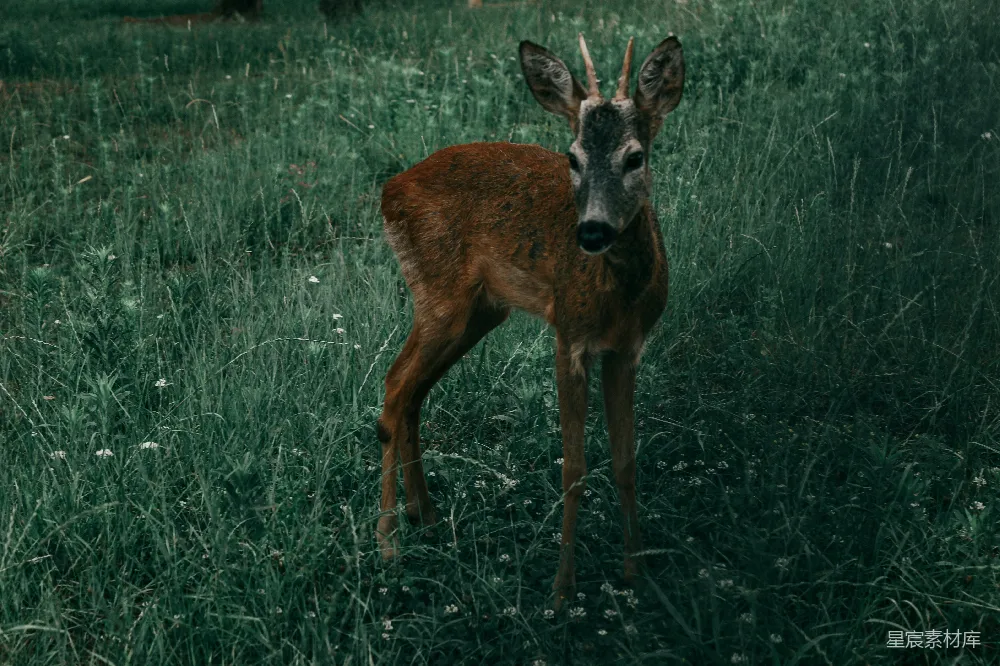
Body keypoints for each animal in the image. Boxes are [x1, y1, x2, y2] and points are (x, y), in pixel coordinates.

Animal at [376, 33, 684, 608]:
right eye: (572, 157)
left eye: (635, 157)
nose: (591, 232)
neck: (618, 294)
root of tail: (387, 191)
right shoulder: (569, 334)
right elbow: (574, 466)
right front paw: (563, 589)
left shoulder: (627, 348)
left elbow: (626, 460)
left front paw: (635, 575)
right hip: (439, 297)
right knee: (394, 386)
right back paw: (387, 543)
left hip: (478, 312)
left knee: (412, 393)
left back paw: (424, 515)